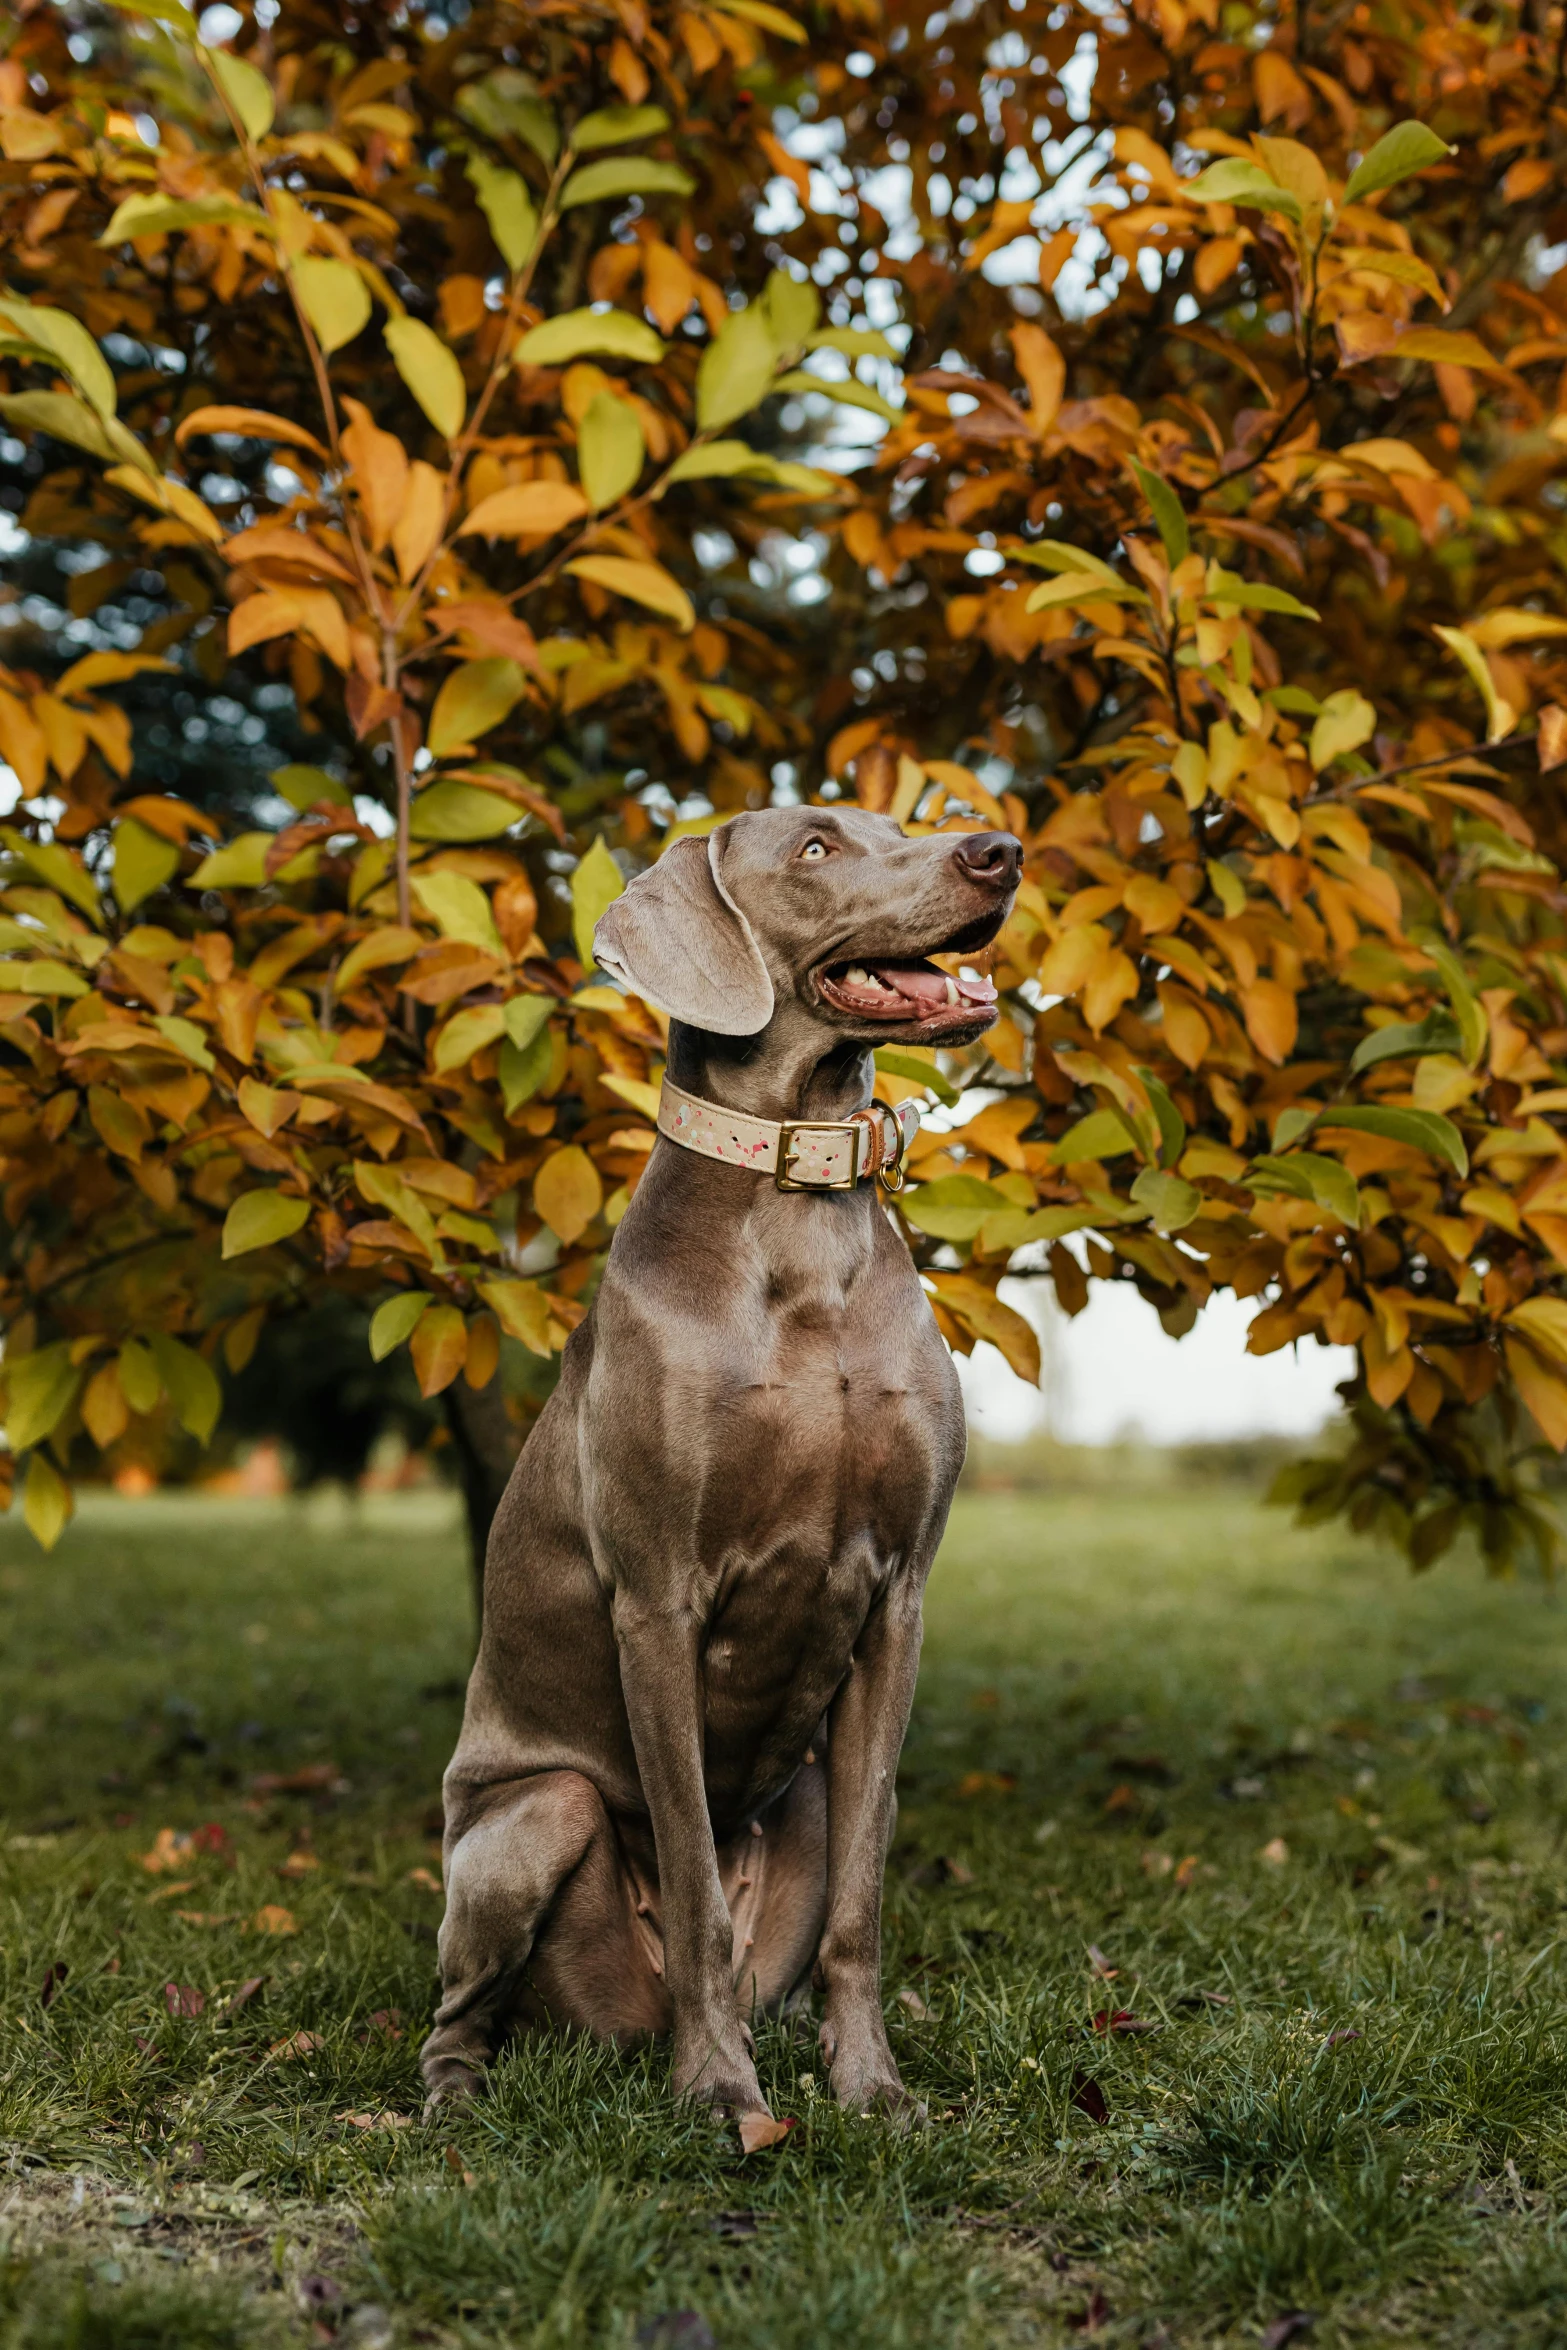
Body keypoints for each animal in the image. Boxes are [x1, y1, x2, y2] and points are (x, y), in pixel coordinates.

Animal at [422, 798, 1024, 2124]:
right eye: (814, 847)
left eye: (892, 819)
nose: (1000, 848)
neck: (797, 1203)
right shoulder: (658, 1599)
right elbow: (696, 1883)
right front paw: (720, 2094)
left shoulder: (898, 1596)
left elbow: (863, 1898)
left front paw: (872, 2087)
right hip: (530, 1815)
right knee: (464, 2003)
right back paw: (462, 2097)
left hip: (801, 1793)